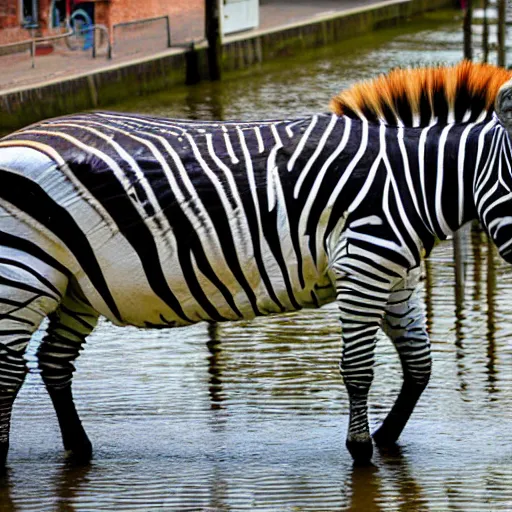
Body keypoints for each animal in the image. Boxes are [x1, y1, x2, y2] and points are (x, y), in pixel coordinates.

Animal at [0, 60, 512, 468]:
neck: (414, 180)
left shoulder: (394, 276)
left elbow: (420, 364)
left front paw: (387, 439)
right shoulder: (362, 266)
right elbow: (358, 369)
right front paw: (361, 452)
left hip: (75, 285)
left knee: (54, 362)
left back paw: (79, 450)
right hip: (23, 273)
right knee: (9, 369)